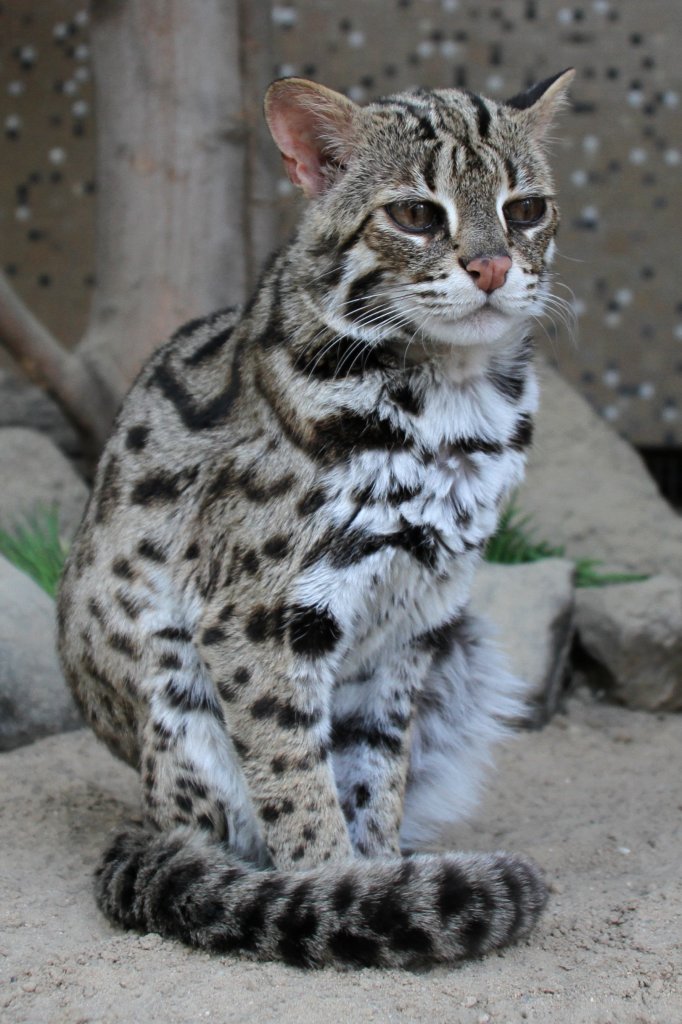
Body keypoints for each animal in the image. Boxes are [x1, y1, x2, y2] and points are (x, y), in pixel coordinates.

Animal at [55, 72, 569, 966]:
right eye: (416, 214)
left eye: (527, 209)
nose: (494, 265)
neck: (456, 400)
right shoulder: (253, 617)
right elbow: (296, 776)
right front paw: (339, 890)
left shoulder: (416, 614)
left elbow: (373, 769)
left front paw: (381, 869)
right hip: (170, 682)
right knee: (208, 833)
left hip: (462, 642)